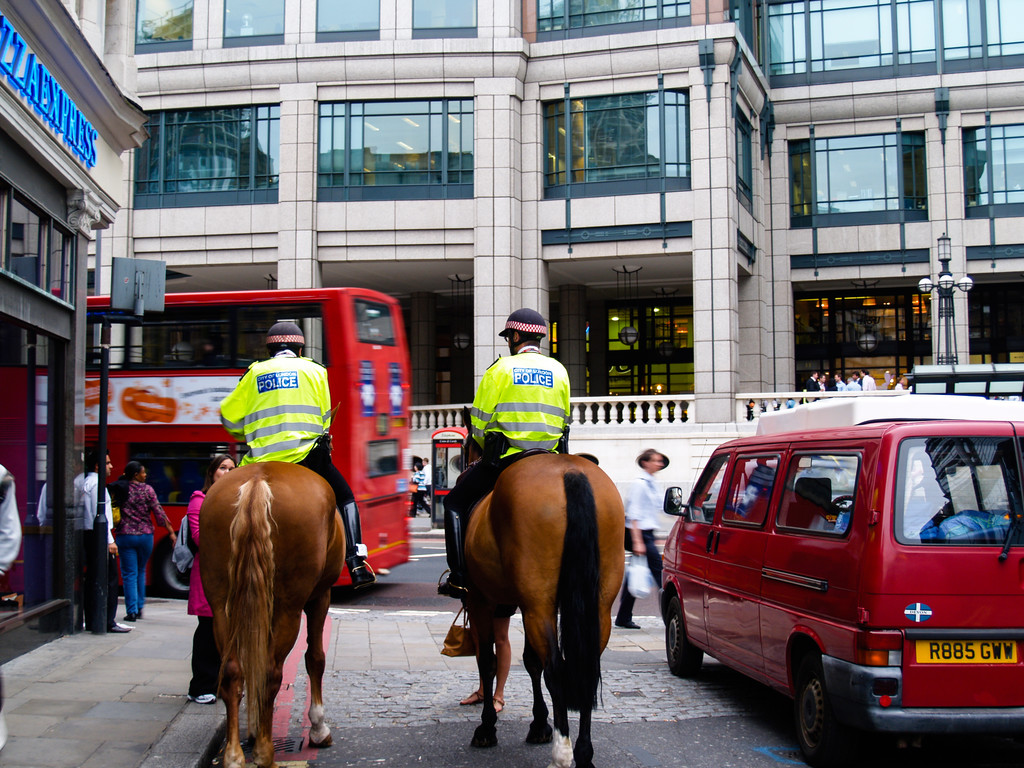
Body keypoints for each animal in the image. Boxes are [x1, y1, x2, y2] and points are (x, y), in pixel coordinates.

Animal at [198, 462, 344, 768]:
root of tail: (258, 481)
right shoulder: (320, 597)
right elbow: (315, 658)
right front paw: (318, 728)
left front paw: (254, 728)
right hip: (289, 606)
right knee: (270, 670)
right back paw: (265, 753)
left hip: (222, 603)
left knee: (233, 670)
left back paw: (234, 755)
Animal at [464, 450, 622, 768]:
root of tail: (571, 472)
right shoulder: (522, 604)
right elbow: (530, 661)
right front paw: (539, 724)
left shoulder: (480, 600)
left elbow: (488, 661)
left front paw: (487, 727)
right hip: (595, 607)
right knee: (585, 670)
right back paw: (583, 754)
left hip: (537, 604)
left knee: (556, 670)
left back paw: (562, 755)